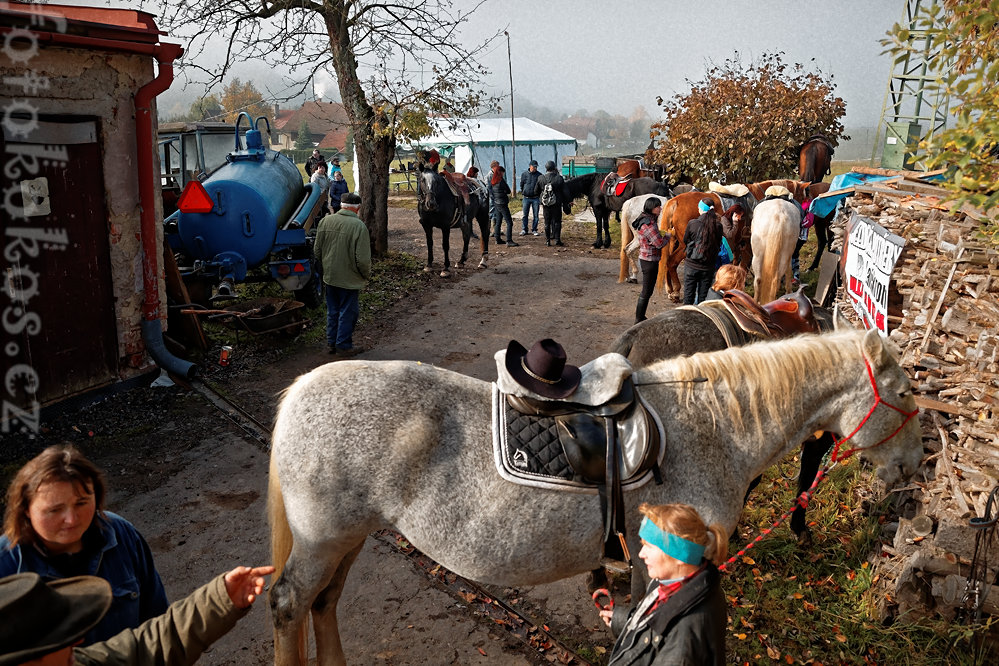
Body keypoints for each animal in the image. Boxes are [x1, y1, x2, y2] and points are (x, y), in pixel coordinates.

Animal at [266, 330, 920, 660]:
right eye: (907, 393)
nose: (914, 469)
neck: (714, 427)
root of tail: (301, 391)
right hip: (322, 542)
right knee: (289, 605)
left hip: (349, 539)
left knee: (324, 606)